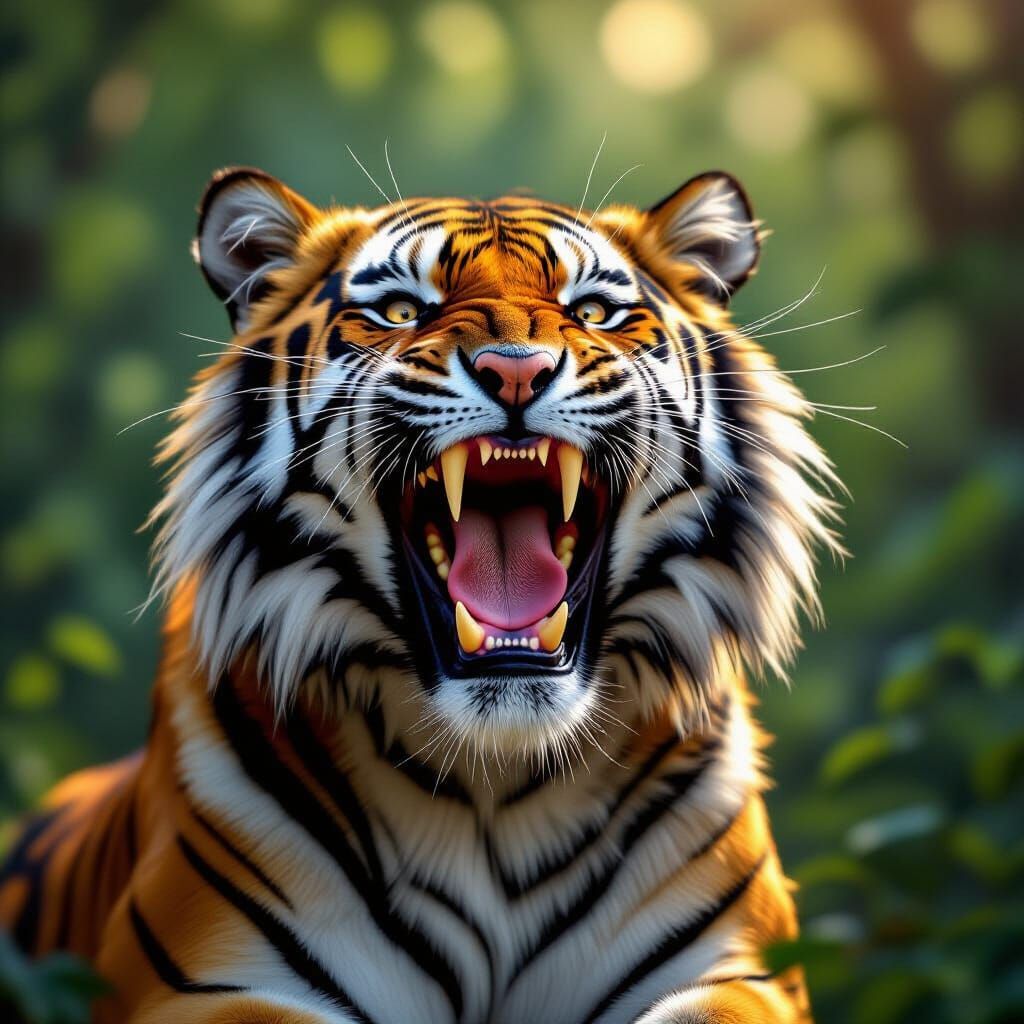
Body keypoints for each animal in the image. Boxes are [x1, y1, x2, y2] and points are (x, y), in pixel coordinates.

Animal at [0, 164, 841, 1023]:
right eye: (403, 310)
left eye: (592, 312)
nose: (516, 369)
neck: (497, 785)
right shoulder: (199, 983)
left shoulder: (746, 971)